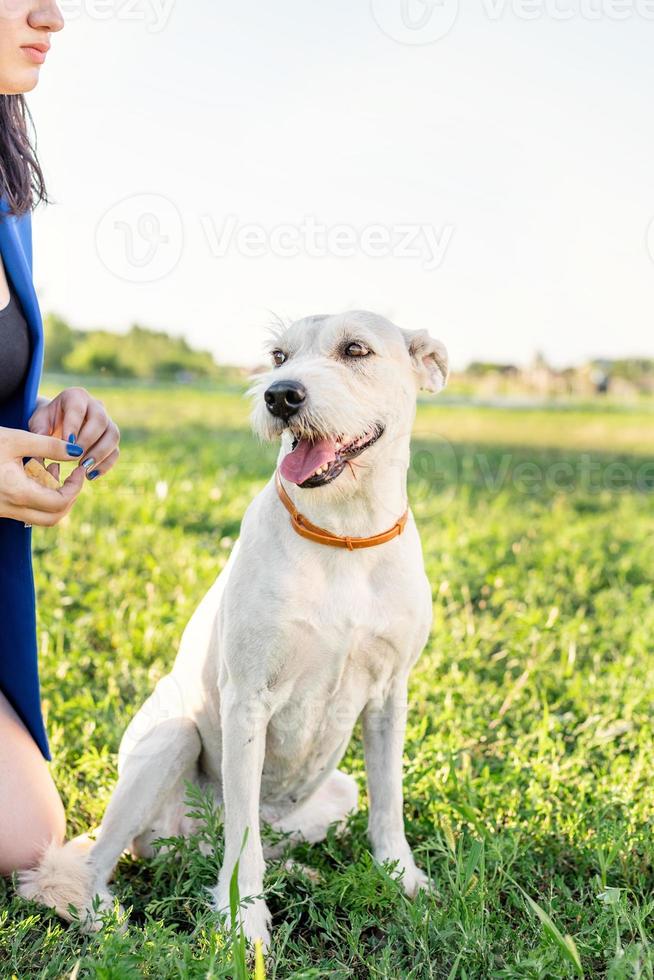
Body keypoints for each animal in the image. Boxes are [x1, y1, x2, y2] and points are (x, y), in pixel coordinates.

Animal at [20, 312, 452, 948]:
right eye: (278, 357)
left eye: (355, 350)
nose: (281, 396)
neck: (343, 533)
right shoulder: (249, 699)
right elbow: (242, 840)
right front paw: (243, 921)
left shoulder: (389, 696)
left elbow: (389, 804)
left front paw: (404, 878)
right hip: (171, 742)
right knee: (97, 862)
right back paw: (100, 916)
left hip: (335, 791)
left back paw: (298, 870)